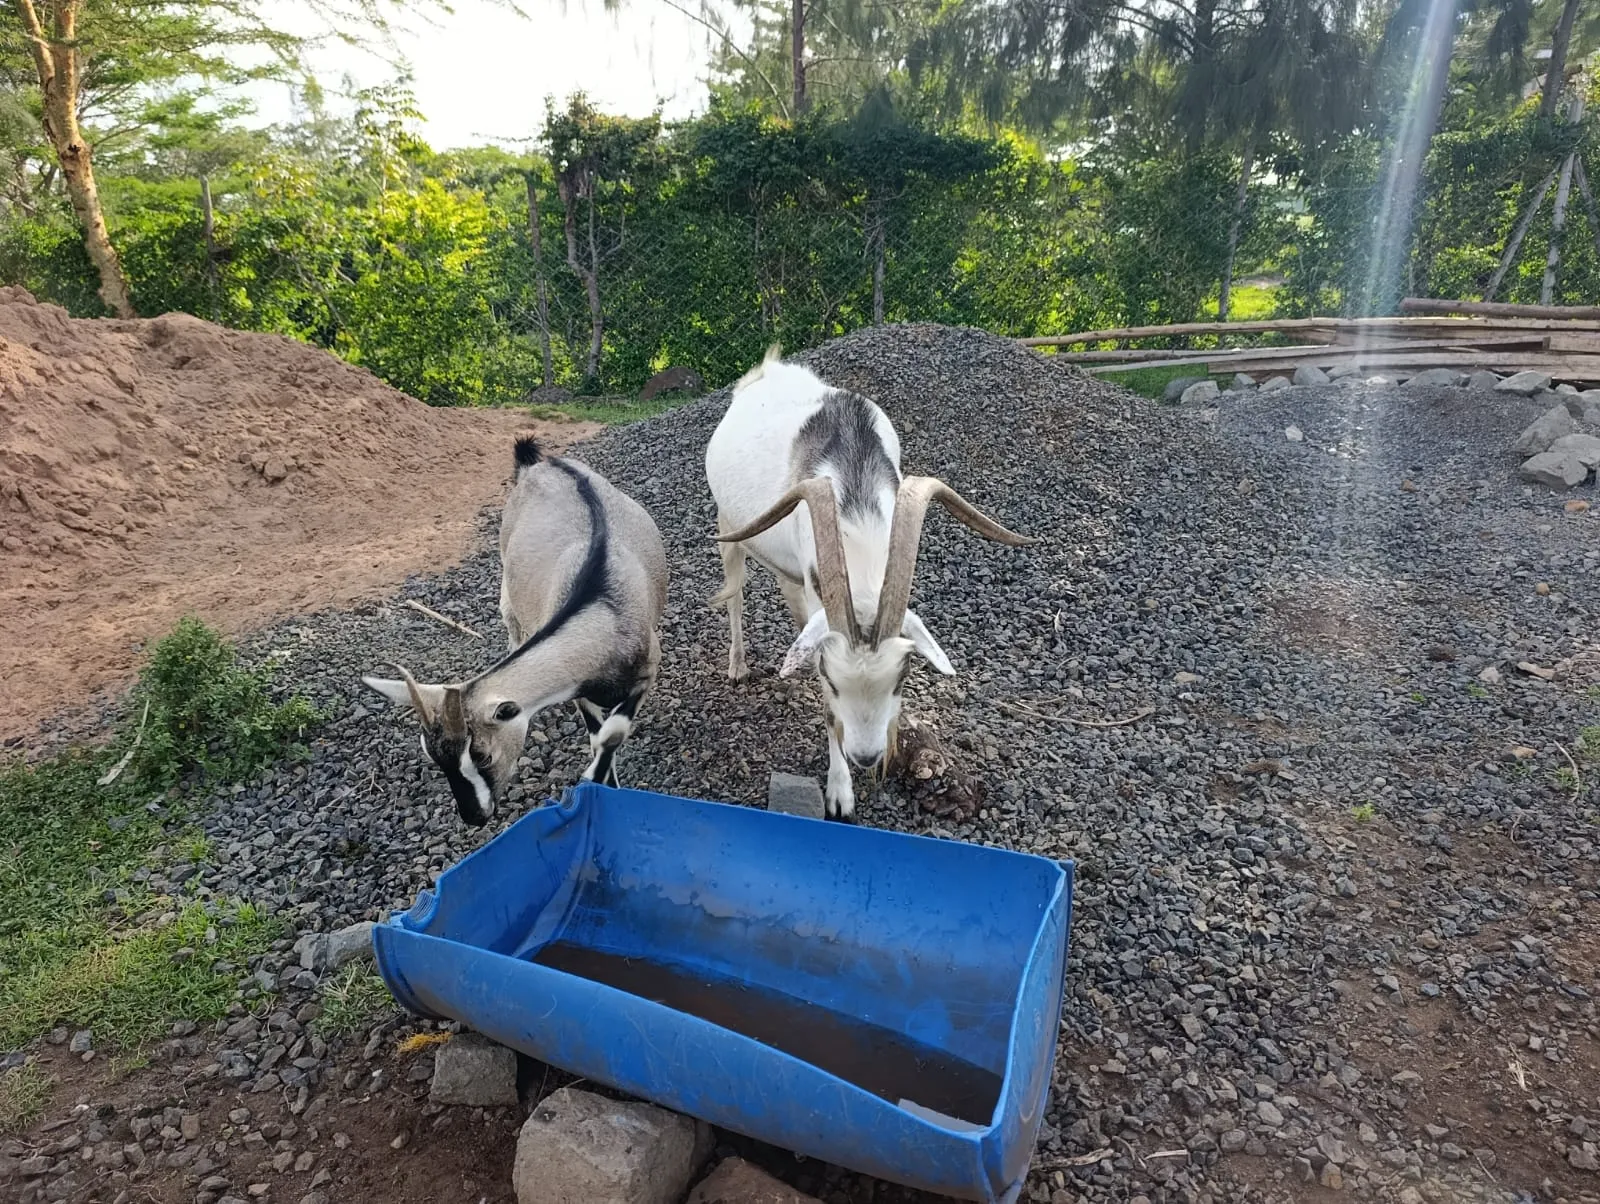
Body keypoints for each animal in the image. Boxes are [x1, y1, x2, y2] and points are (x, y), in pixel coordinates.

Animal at [362, 436, 668, 827]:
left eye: (483, 755)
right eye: (432, 757)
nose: (474, 816)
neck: (602, 612)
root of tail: (538, 464)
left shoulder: (647, 670)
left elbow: (610, 735)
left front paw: (596, 781)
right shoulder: (579, 691)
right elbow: (597, 732)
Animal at [705, 346, 1035, 819]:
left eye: (902, 677)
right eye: (832, 679)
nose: (865, 757)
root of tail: (768, 370)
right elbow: (828, 709)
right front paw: (840, 793)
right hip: (728, 526)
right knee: (735, 593)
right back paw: (737, 666)